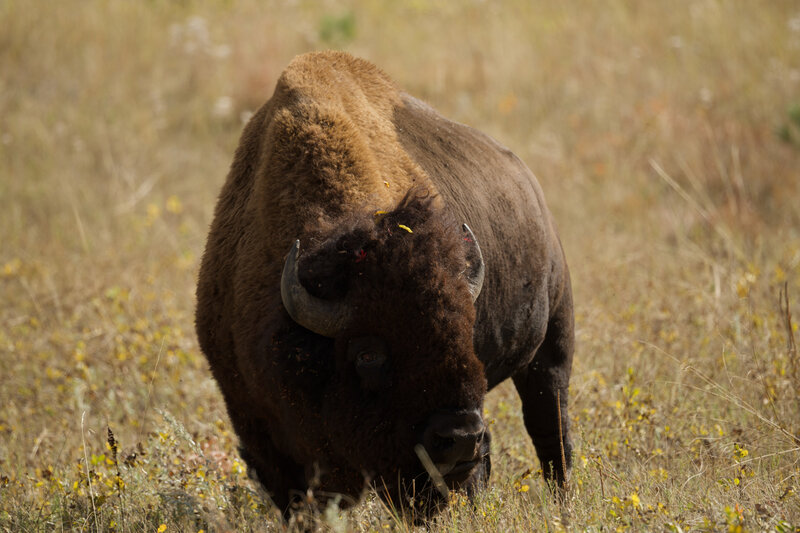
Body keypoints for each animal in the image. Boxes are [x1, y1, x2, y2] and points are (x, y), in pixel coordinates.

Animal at [196, 51, 572, 516]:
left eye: (466, 333)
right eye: (368, 354)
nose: (459, 436)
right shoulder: (260, 432)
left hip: (553, 342)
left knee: (551, 428)